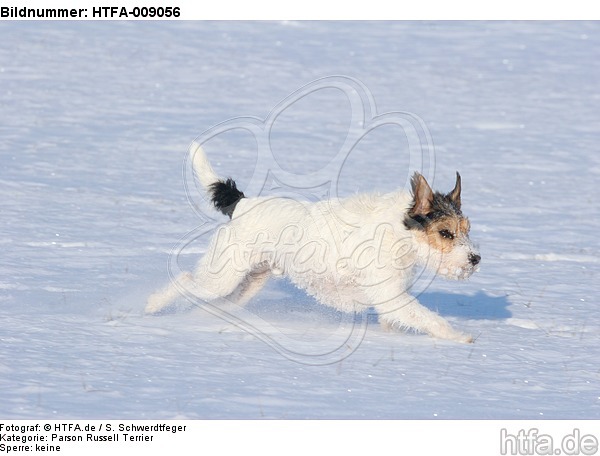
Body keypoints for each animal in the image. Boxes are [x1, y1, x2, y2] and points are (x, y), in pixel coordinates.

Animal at [148, 144, 480, 344]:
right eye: (446, 233)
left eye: (466, 229)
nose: (475, 259)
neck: (400, 233)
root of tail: (242, 204)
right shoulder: (391, 295)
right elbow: (426, 316)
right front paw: (459, 336)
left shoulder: (391, 298)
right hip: (222, 277)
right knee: (184, 280)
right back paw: (151, 305)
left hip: (248, 282)